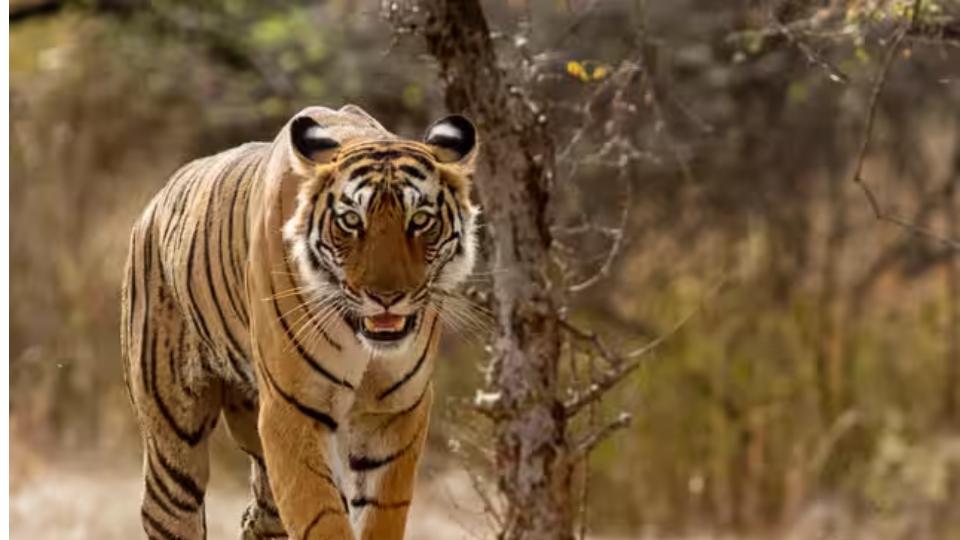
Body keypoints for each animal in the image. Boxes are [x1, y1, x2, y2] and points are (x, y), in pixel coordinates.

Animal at [120, 104, 480, 539]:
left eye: (421, 220)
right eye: (351, 221)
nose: (386, 298)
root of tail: (155, 203)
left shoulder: (394, 414)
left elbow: (380, 514)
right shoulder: (291, 411)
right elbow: (322, 518)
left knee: (259, 517)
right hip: (174, 437)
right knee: (172, 507)